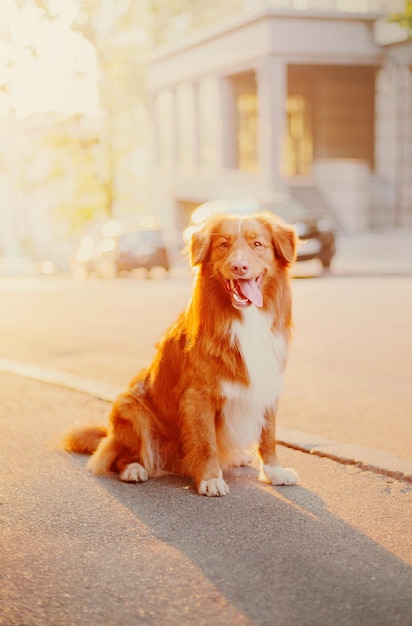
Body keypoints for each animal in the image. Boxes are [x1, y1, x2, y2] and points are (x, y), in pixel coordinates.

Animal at [61, 212, 298, 494]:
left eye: (257, 244)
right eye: (224, 245)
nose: (239, 267)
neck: (245, 319)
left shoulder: (267, 383)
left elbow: (269, 436)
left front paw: (274, 472)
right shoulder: (198, 395)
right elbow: (206, 441)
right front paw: (210, 479)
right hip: (130, 406)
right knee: (120, 455)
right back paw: (134, 468)